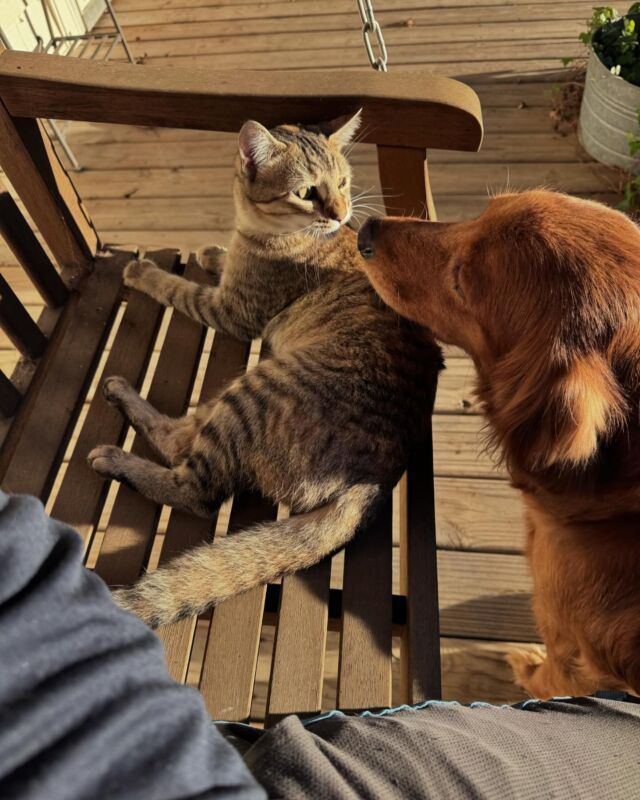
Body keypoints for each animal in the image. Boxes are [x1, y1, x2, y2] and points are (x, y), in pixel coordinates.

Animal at [87, 112, 442, 628]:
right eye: (307, 191)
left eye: (342, 183)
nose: (342, 213)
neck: (257, 229)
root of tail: (374, 481)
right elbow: (220, 261)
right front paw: (213, 253)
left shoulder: (229, 311)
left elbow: (176, 287)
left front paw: (143, 272)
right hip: (235, 395)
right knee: (184, 437)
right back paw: (119, 393)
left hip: (251, 394)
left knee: (194, 485)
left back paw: (115, 452)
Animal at [358, 191, 636, 696]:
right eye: (483, 212)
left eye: (460, 281)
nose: (365, 231)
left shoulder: (571, 642)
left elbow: (552, 674)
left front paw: (527, 666)